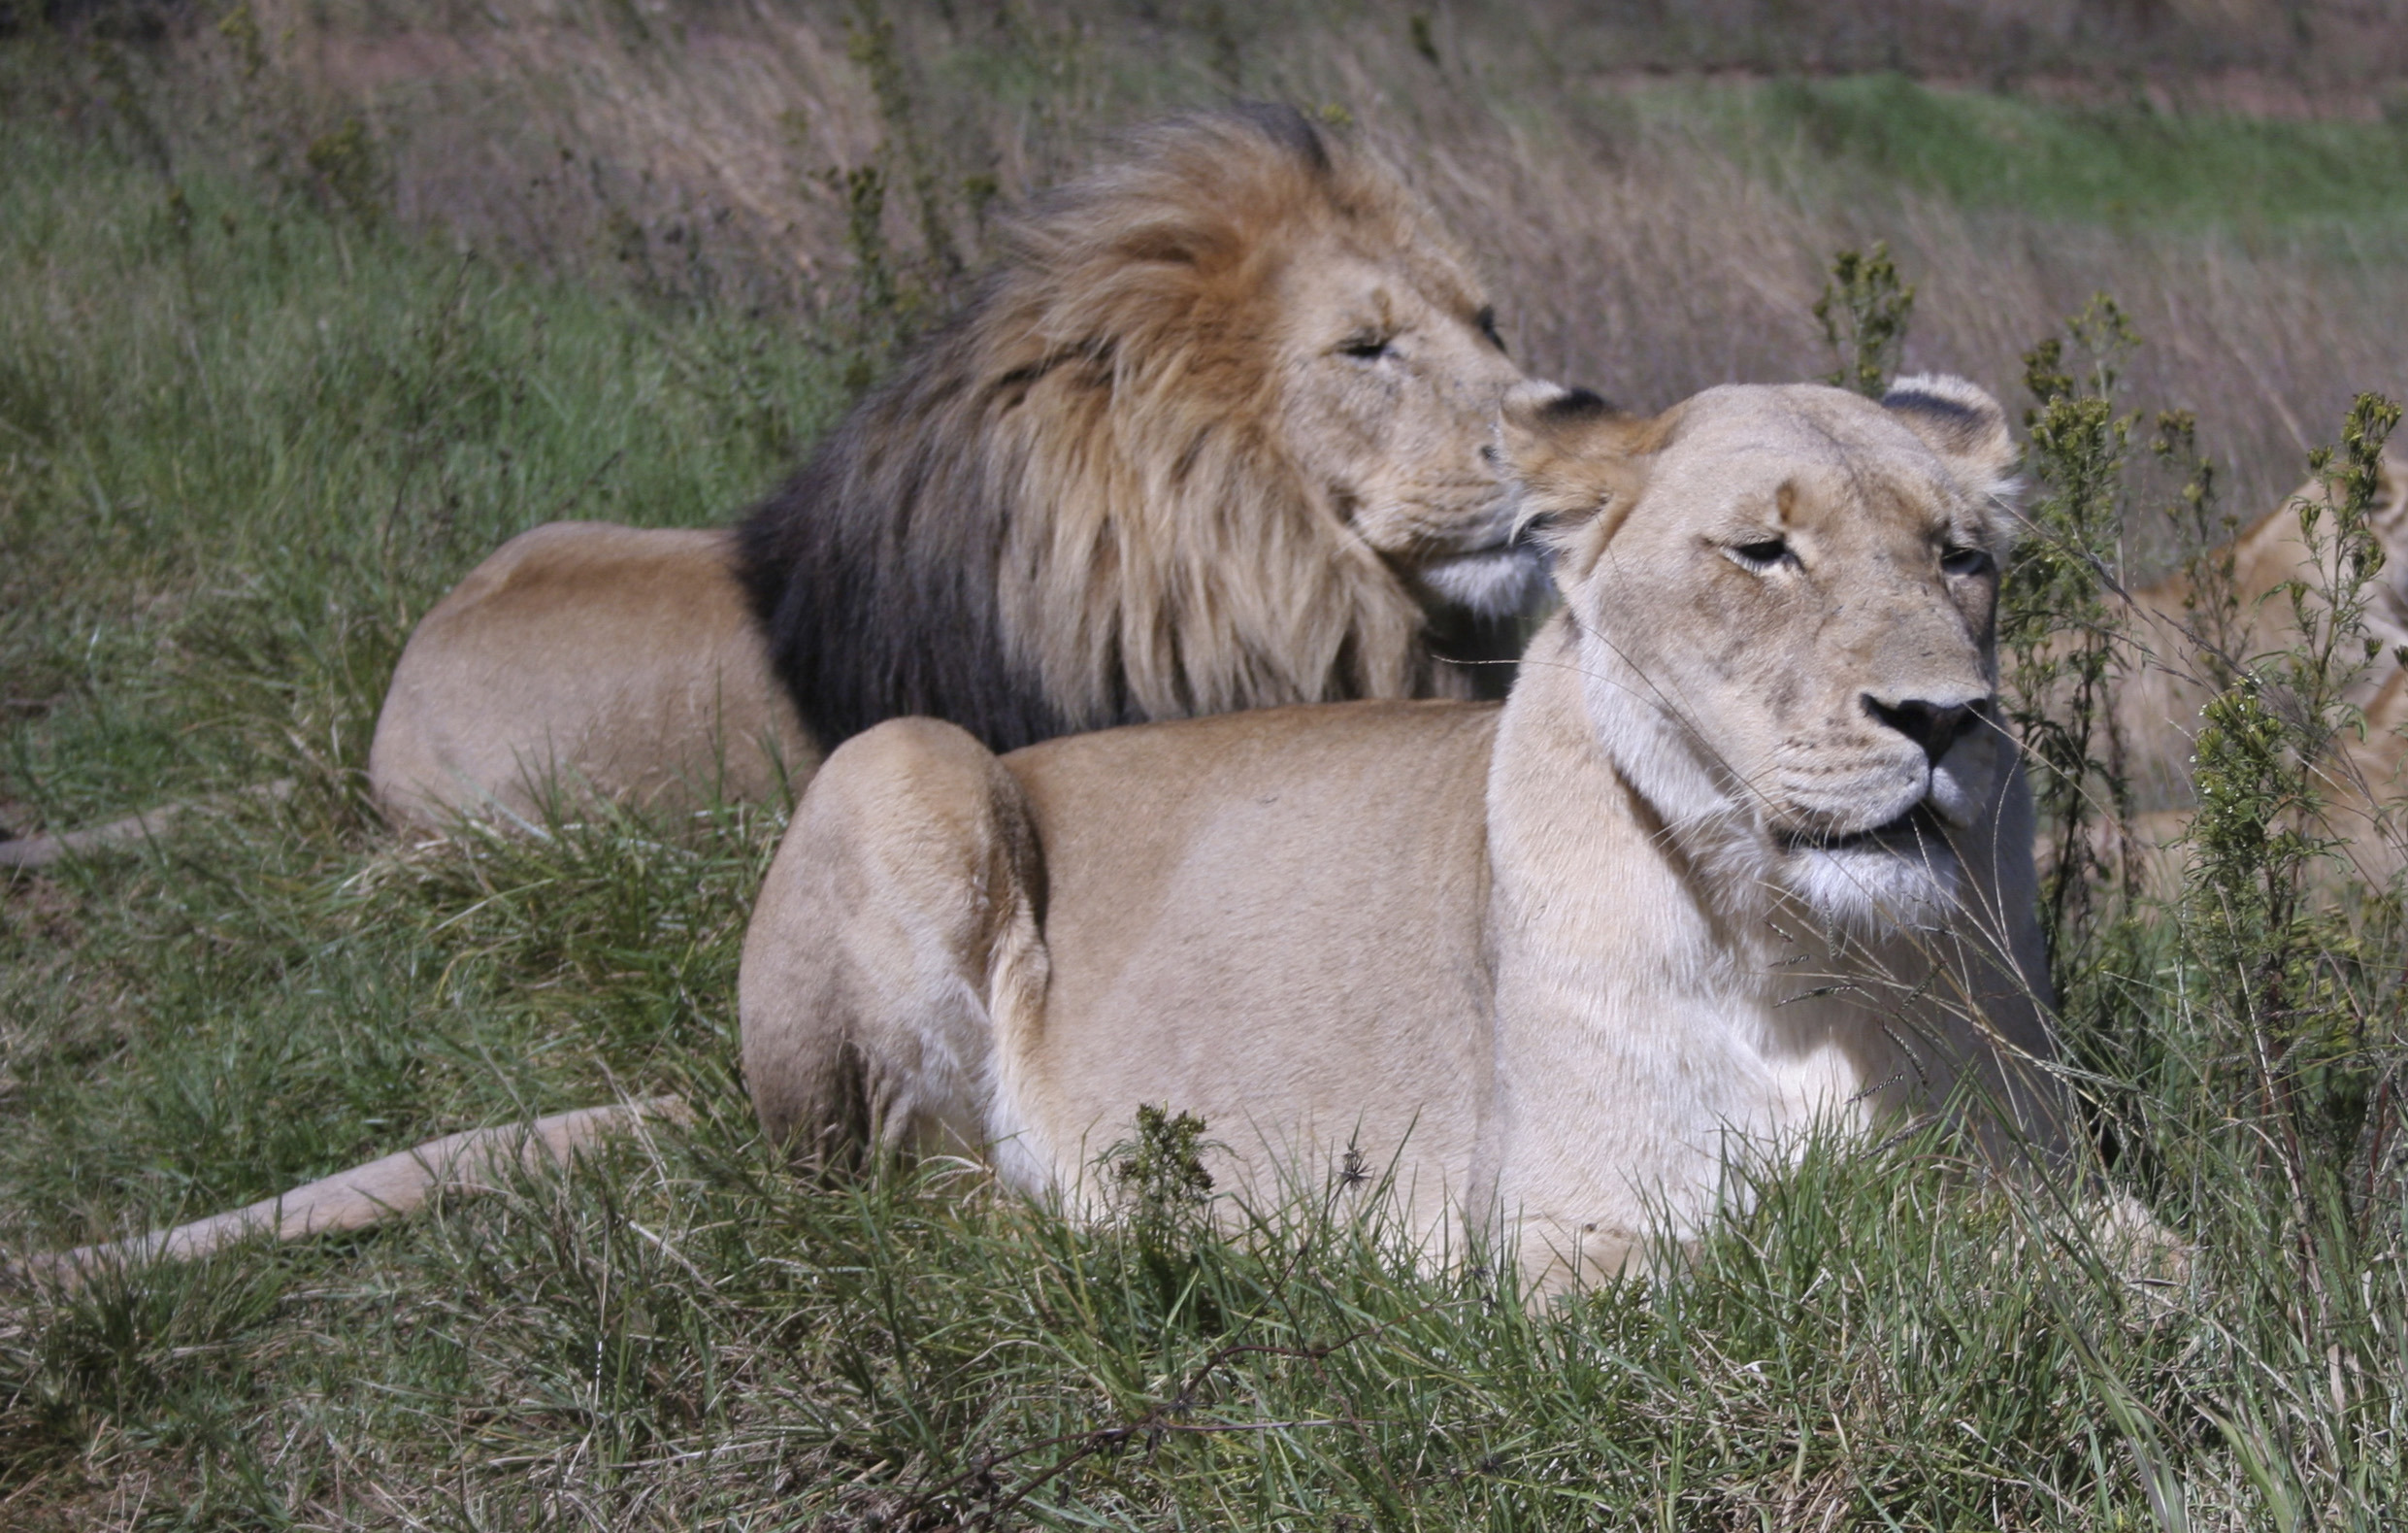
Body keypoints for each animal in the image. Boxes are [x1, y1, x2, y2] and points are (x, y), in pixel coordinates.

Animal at [23, 376, 2067, 1292]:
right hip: (909, 761)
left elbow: (2100, 1264)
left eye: (1961, 557)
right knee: (879, 1194)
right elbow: (1817, 1276)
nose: (1944, 719)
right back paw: (1129, 1227)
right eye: (1763, 548)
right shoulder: (1577, 1244)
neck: (1805, 950)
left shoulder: (2023, 1172)